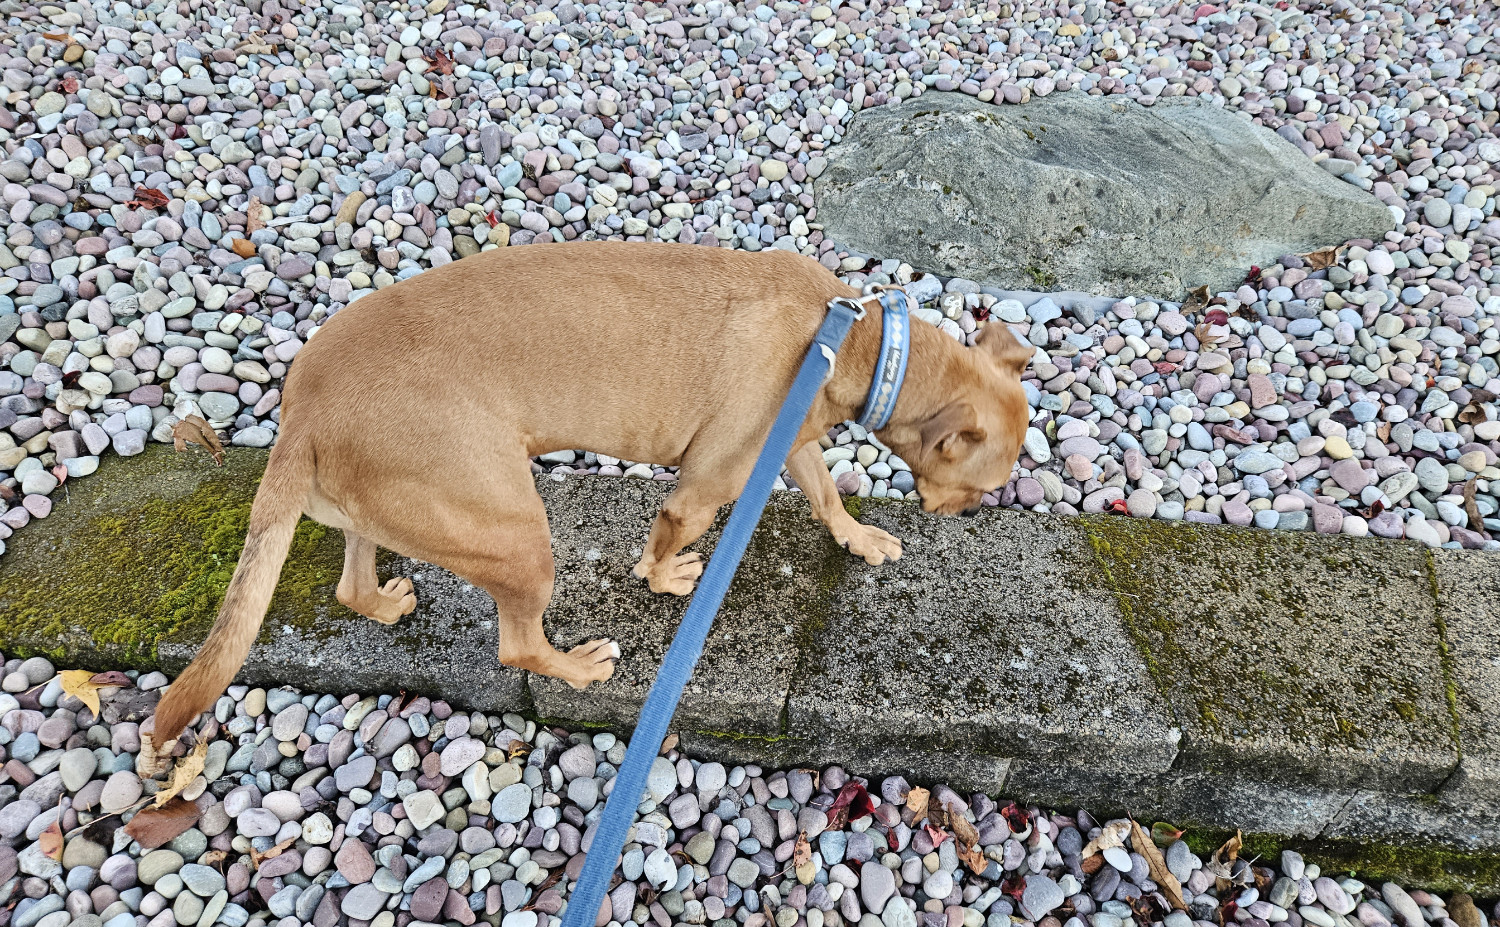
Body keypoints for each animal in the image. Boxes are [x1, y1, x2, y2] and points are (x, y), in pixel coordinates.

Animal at [146, 240, 1038, 750]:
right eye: (988, 483)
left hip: (402, 507)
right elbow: (667, 541)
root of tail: (303, 408)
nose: (971, 514)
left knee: (353, 580)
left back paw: (385, 601)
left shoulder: (792, 443)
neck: (855, 340)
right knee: (516, 643)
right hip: (517, 533)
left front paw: (859, 536)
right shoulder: (707, 484)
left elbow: (827, 497)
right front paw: (664, 577)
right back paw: (576, 668)